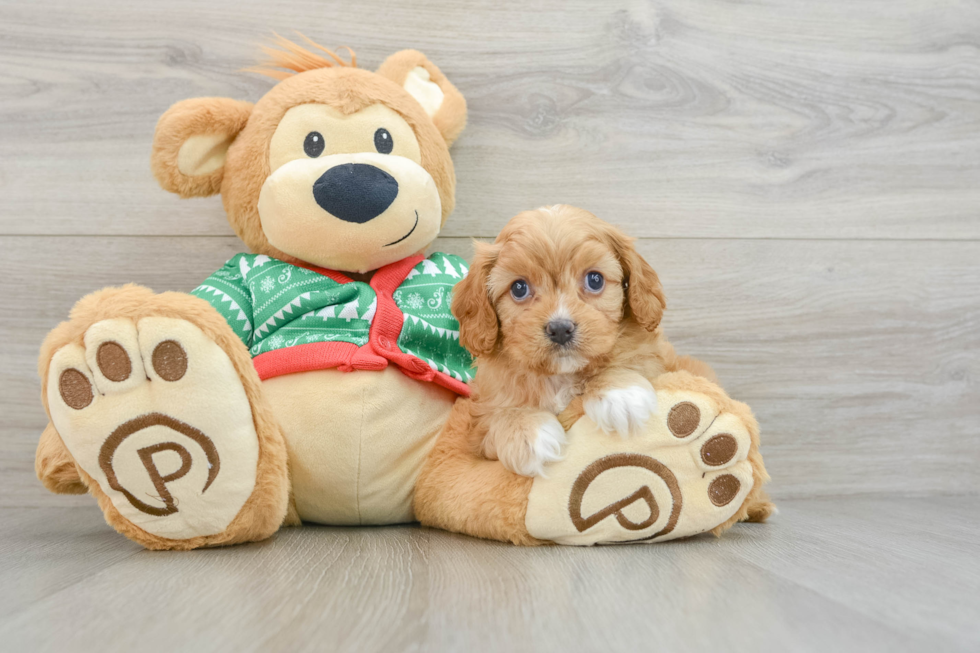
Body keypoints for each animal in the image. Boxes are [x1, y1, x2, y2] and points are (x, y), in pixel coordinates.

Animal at [450, 206, 712, 476]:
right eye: (519, 288)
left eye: (595, 280)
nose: (560, 329)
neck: (562, 375)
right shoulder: (478, 423)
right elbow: (496, 416)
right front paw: (527, 432)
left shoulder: (654, 361)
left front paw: (620, 392)